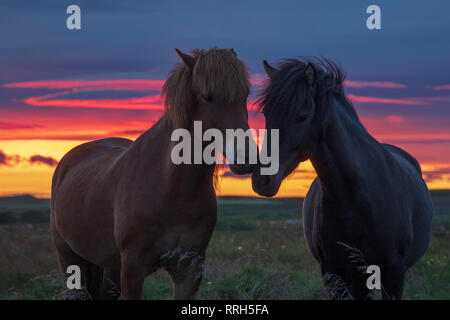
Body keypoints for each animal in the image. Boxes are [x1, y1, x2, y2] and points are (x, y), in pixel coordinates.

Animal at [51, 47, 255, 300]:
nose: (247, 158)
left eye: (245, 95)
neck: (171, 187)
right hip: (70, 259)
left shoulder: (189, 270)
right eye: (208, 96)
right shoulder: (132, 269)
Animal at [253, 58, 432, 300]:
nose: (261, 180)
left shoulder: (394, 273)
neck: (357, 197)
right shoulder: (333, 271)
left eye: (302, 115)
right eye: (266, 113)